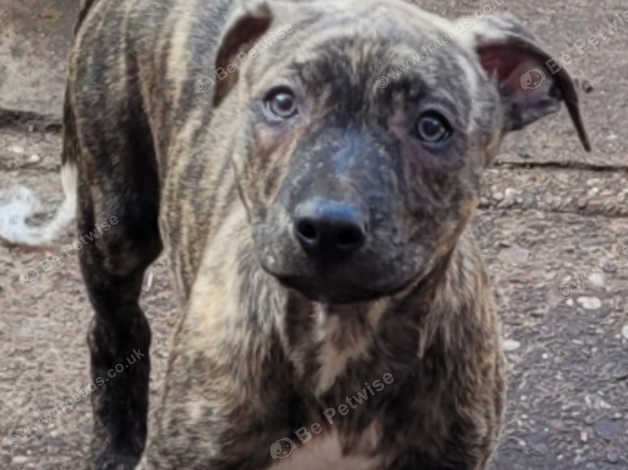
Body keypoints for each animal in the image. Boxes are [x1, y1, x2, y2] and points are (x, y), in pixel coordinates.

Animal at [0, 0, 588, 466]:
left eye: (432, 126)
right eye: (282, 101)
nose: (327, 227)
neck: (341, 334)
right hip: (116, 219)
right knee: (115, 330)